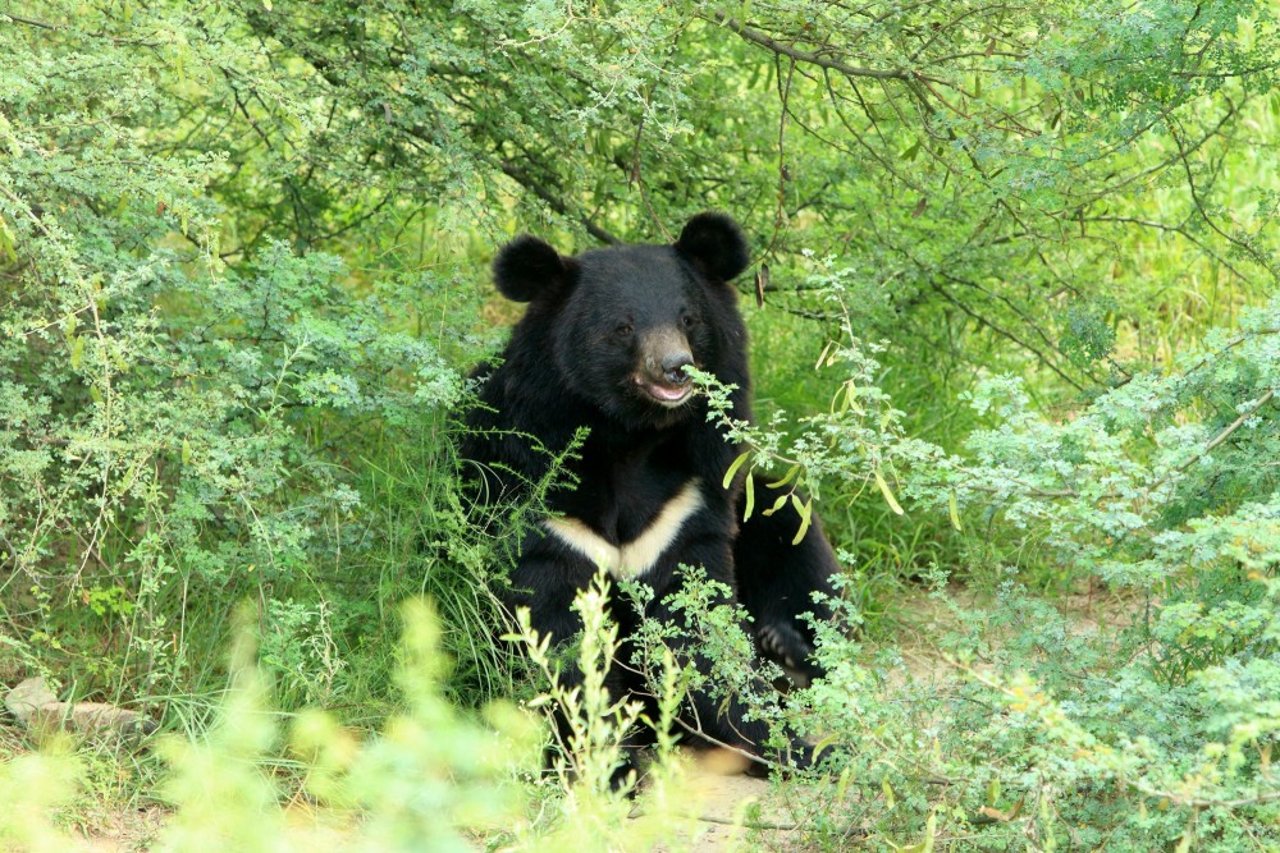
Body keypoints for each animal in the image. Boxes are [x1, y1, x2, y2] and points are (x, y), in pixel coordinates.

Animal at [460, 211, 839, 778]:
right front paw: (610, 763)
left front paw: (788, 745)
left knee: (794, 536)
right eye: (623, 327)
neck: (629, 438)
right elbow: (557, 634)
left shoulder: (688, 502)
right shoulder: (539, 504)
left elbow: (698, 630)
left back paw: (787, 652)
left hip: (764, 507)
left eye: (688, 320)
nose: (676, 366)